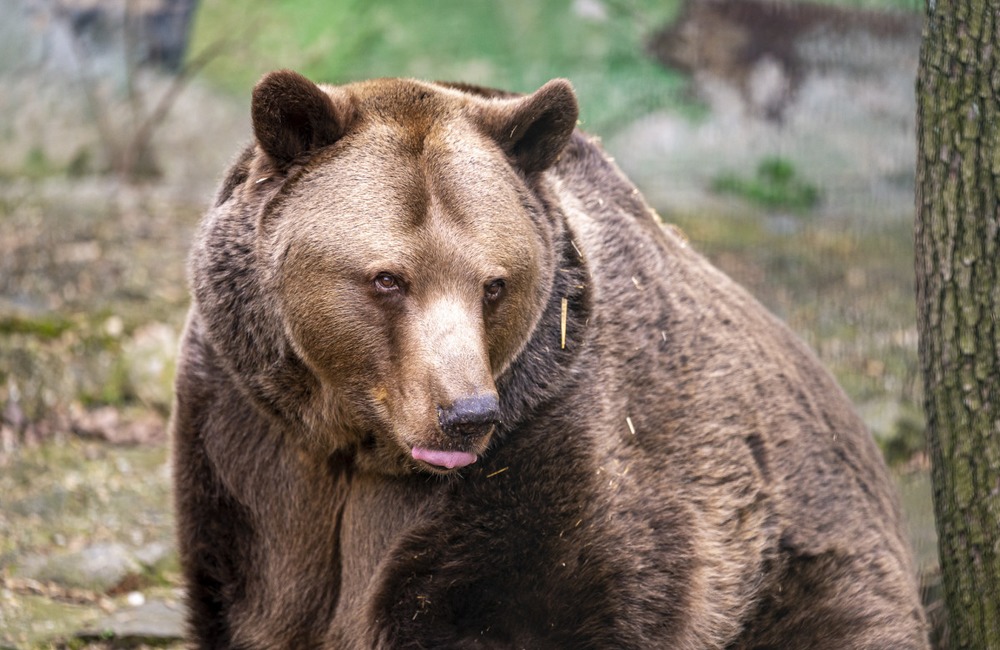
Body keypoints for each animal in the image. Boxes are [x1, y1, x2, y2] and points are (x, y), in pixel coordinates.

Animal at [172, 68, 928, 644]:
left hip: (810, 563)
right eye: (387, 278)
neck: (359, 444)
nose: (467, 414)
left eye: (494, 283)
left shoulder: (554, 454)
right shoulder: (250, 446)